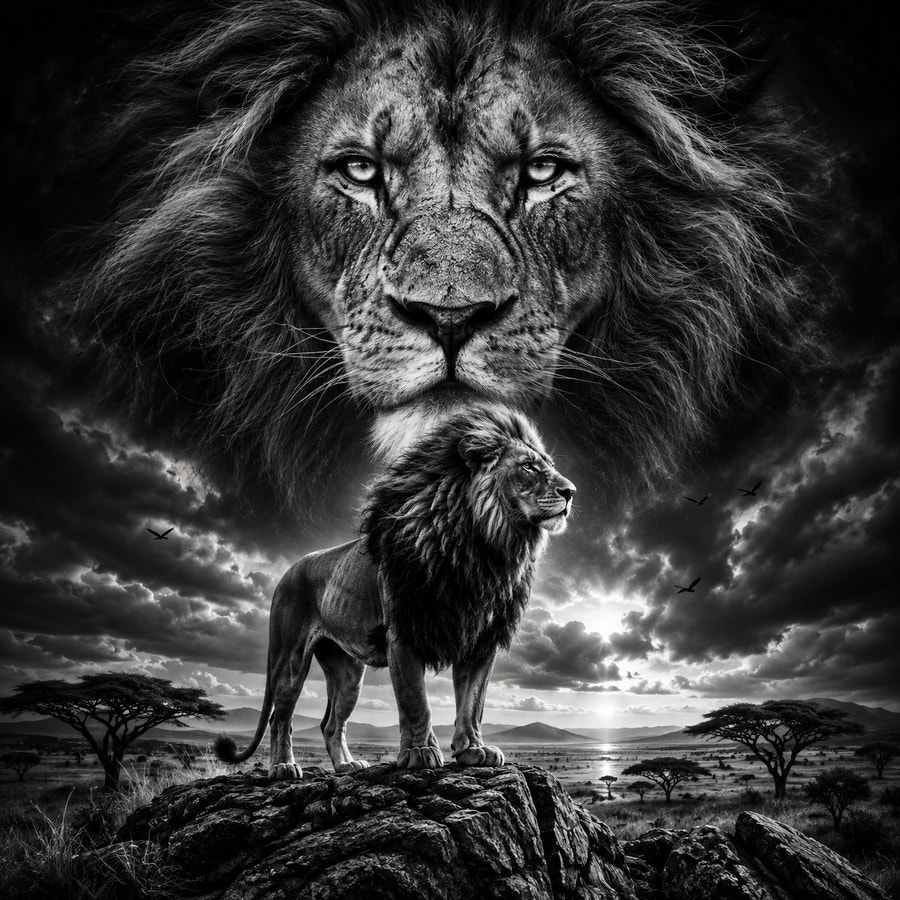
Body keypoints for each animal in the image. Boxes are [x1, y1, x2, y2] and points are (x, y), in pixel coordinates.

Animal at [215, 403, 575, 776]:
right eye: (528, 466)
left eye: (548, 465)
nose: (571, 491)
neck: (482, 547)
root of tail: (287, 572)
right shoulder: (403, 629)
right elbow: (415, 699)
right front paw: (420, 752)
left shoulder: (480, 636)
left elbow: (473, 701)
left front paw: (475, 750)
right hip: (290, 658)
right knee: (280, 717)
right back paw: (284, 767)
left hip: (348, 672)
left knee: (331, 723)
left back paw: (347, 765)